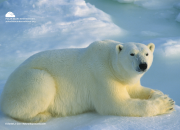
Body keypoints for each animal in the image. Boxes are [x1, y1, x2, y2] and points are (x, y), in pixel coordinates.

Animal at [0, 39, 174, 122]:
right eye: (132, 54)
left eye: (146, 53)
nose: (142, 65)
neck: (110, 61)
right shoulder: (102, 76)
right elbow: (116, 104)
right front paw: (165, 104)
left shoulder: (124, 78)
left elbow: (136, 89)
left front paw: (162, 95)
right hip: (31, 79)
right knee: (41, 86)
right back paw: (41, 116)